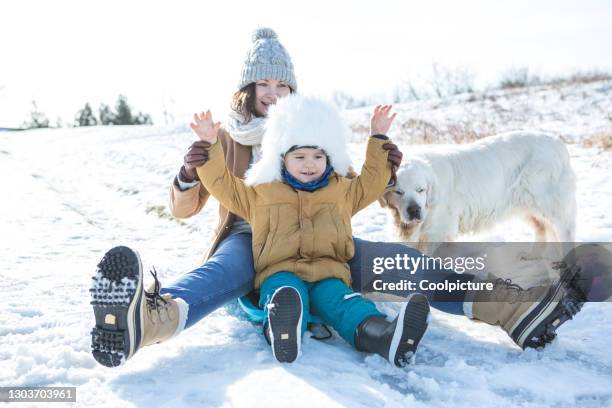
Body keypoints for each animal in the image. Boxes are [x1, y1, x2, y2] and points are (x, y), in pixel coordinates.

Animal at [380, 132, 576, 256]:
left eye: (421, 189)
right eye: (398, 192)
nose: (414, 210)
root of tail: (558, 142)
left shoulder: (439, 232)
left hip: (551, 205)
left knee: (565, 232)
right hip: (524, 205)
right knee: (541, 228)